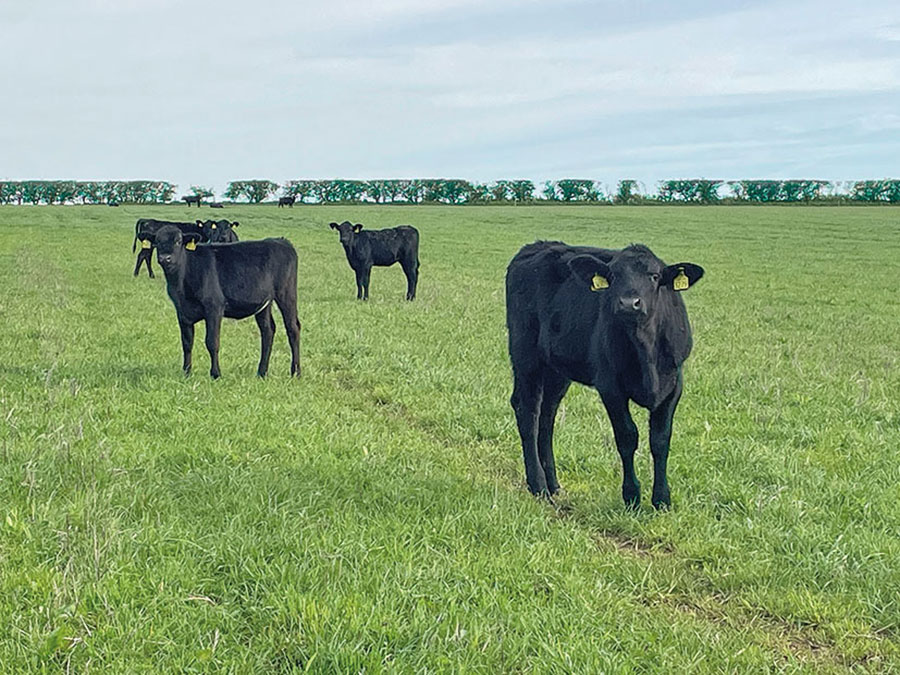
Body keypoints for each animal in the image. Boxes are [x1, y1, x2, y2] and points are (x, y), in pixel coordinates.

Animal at [153, 225, 301, 379]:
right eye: (157, 242)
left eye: (178, 241)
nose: (165, 258)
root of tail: (281, 241)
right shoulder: (182, 311)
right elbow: (187, 343)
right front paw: (187, 372)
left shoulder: (214, 307)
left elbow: (212, 342)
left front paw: (215, 374)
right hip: (264, 302)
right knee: (268, 330)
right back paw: (262, 372)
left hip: (286, 294)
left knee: (293, 328)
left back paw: (296, 372)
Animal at [505, 241, 704, 509]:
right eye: (613, 275)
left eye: (654, 276)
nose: (629, 303)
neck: (646, 352)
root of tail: (536, 246)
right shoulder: (610, 386)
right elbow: (627, 436)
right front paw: (632, 496)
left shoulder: (673, 385)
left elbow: (660, 440)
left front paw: (662, 499)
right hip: (526, 356)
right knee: (529, 412)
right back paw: (538, 486)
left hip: (556, 369)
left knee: (547, 416)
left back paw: (553, 483)